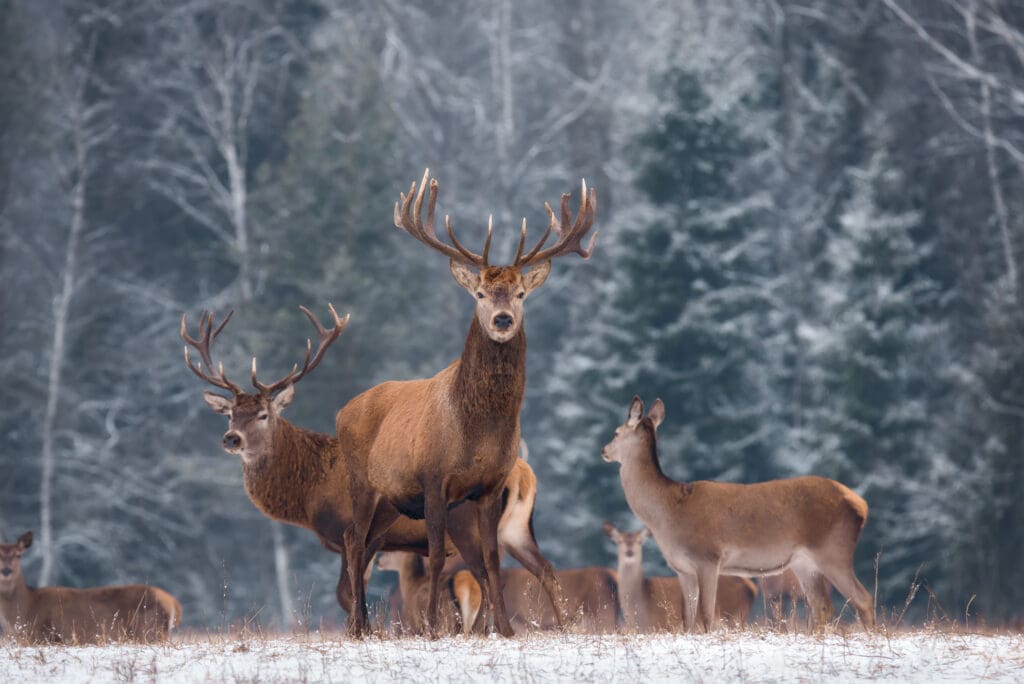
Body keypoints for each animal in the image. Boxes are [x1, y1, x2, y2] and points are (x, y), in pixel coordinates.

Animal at [186, 309, 569, 626]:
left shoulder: (359, 531)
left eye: (264, 415)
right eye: (231, 414)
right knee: (544, 570)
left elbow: (347, 591)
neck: (310, 494)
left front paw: (363, 629)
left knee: (490, 573)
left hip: (468, 522)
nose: (232, 439)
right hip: (516, 529)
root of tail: (525, 474)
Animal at [331, 166, 598, 634]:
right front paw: (433, 628)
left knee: (363, 541)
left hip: (392, 500)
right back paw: (359, 626)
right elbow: (438, 557)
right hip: (362, 479)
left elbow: (490, 560)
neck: (476, 431)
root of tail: (345, 409)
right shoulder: (434, 478)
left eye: (521, 294)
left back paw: (362, 623)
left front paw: (504, 629)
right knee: (354, 539)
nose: (503, 319)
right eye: (480, 294)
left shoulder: (489, 486)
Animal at [598, 524, 761, 630]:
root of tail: (752, 588)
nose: (629, 551)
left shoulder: (662, 624)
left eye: (640, 541)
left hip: (734, 616)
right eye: (619, 541)